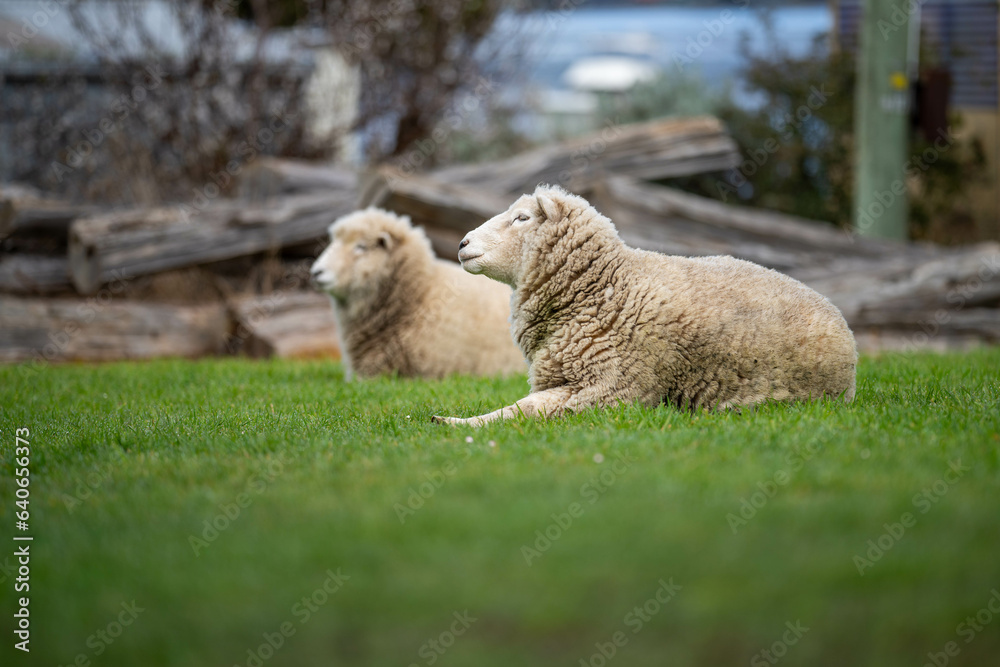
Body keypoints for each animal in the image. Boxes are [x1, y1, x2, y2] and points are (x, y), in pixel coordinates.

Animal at [433, 185, 857, 426]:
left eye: (521, 218)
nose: (462, 243)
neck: (606, 286)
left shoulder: (610, 391)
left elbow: (526, 410)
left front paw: (454, 422)